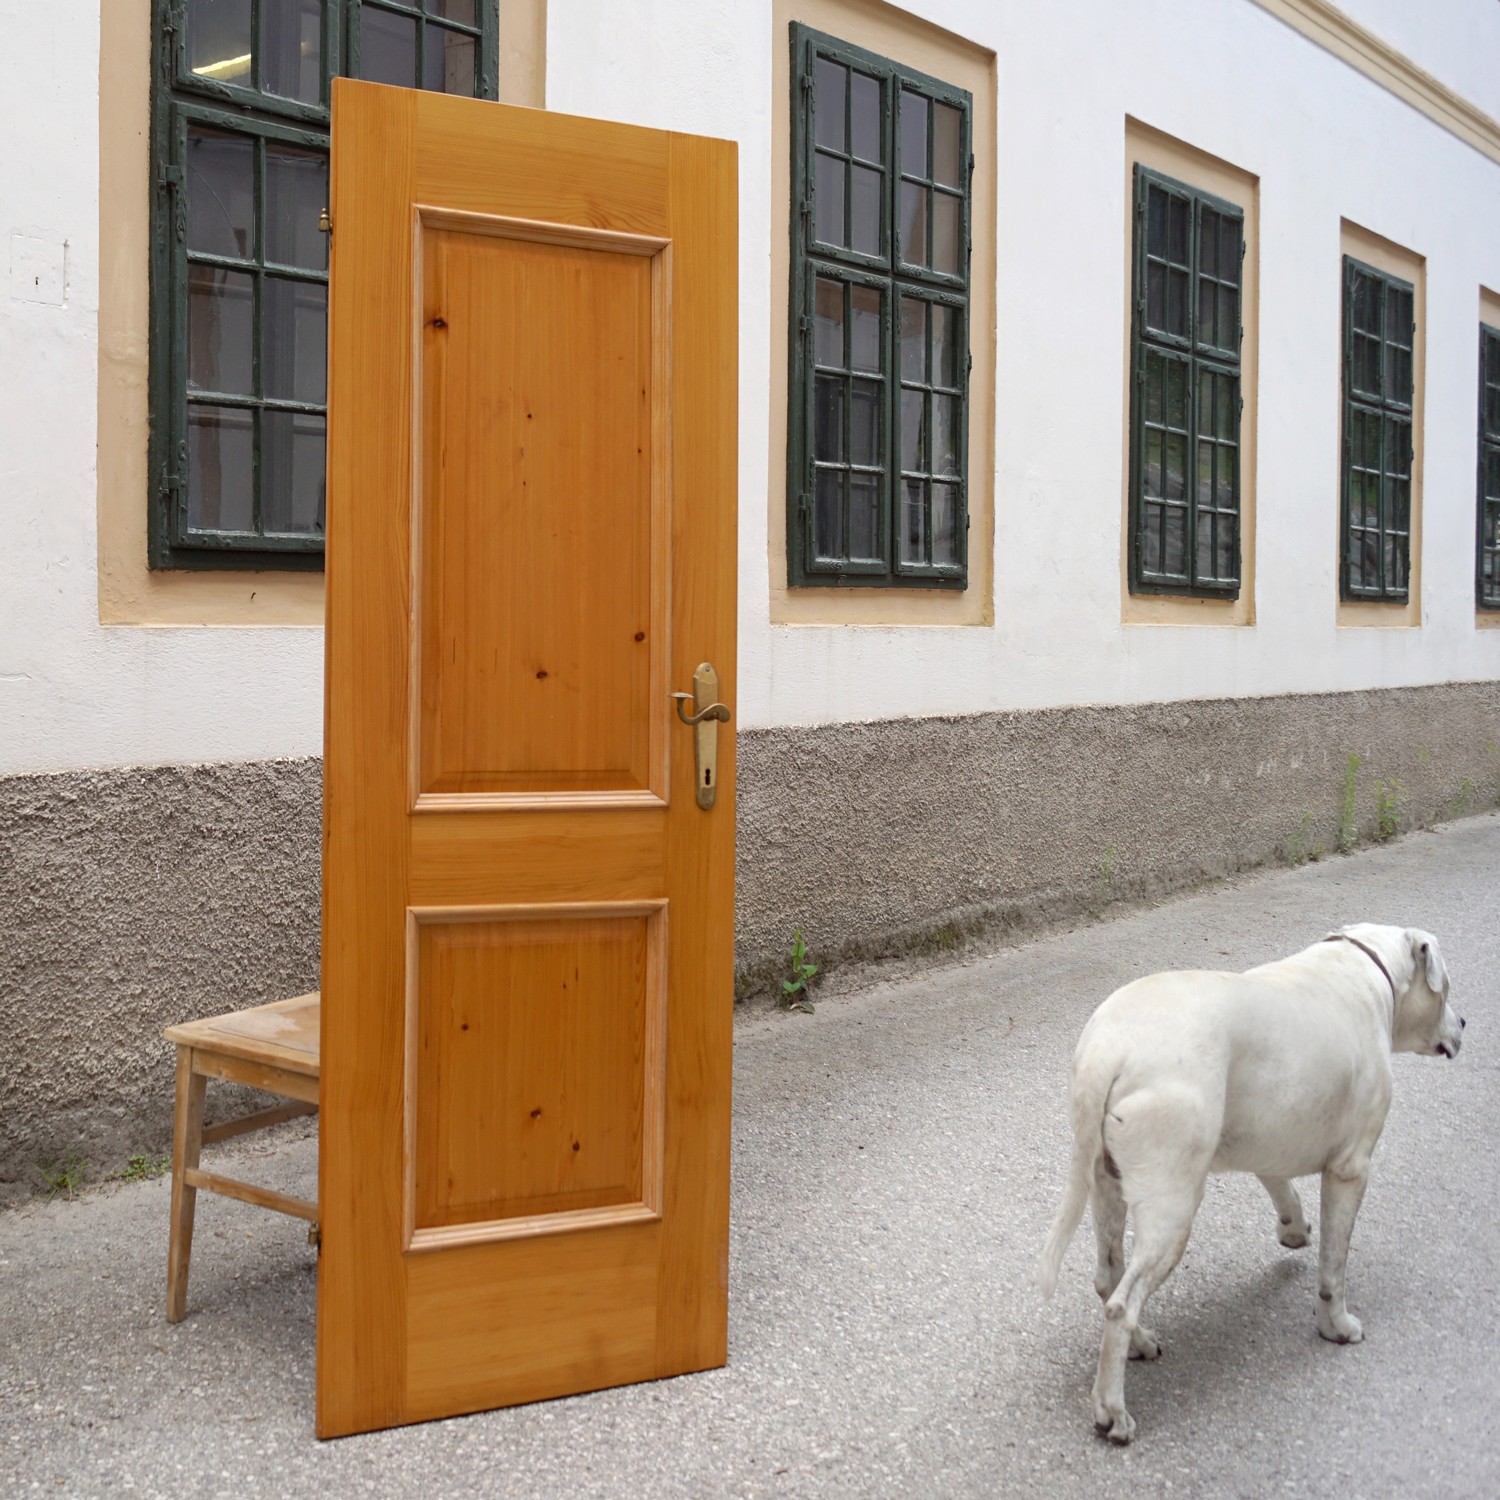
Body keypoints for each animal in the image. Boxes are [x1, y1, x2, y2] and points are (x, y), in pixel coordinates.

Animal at [1038, 924, 1458, 1440]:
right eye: (1447, 991)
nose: (1463, 1023)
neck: (1367, 967)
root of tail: (1111, 1049)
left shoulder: (1270, 1139)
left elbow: (1283, 1189)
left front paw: (1293, 1229)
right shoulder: (1350, 1170)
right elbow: (1333, 1268)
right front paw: (1336, 1326)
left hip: (1106, 1186)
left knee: (1107, 1278)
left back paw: (1138, 1344)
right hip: (1172, 1209)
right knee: (1121, 1304)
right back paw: (1112, 1411)